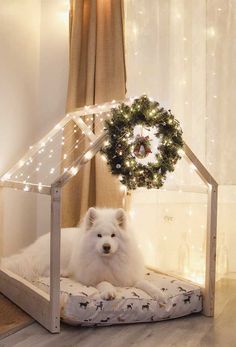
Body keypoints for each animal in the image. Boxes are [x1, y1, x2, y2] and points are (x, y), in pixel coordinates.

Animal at [2, 209, 166, 302]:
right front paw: (109, 292)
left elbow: (144, 283)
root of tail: (32, 250)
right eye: (99, 236)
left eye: (113, 235)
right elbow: (104, 282)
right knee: (46, 271)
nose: (106, 246)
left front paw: (160, 295)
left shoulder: (129, 276)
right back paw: (64, 273)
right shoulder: (92, 279)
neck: (108, 261)